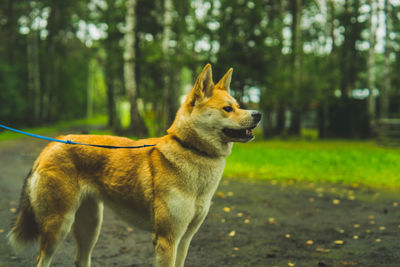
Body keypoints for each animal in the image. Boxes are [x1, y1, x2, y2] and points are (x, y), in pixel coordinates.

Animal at [8, 63, 262, 266]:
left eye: (238, 105)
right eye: (228, 108)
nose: (258, 114)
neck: (191, 150)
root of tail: (52, 145)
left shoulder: (184, 240)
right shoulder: (167, 240)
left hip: (90, 226)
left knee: (81, 259)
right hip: (58, 226)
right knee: (43, 260)